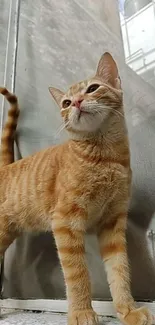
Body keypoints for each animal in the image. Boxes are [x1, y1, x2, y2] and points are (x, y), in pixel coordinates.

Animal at [0, 53, 153, 324]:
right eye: (66, 102)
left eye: (93, 88)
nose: (77, 103)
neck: (105, 157)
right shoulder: (65, 223)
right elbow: (77, 274)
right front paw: (82, 312)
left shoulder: (113, 224)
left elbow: (120, 271)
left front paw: (128, 311)